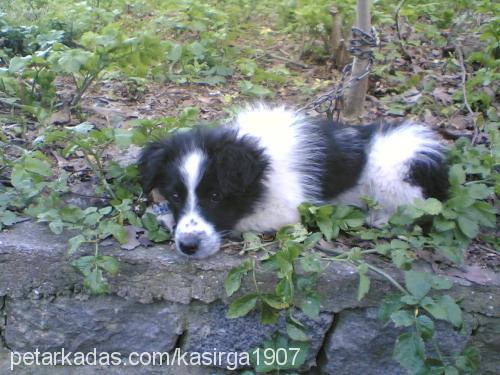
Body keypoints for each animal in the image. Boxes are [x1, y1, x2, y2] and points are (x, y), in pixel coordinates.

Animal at [138, 106, 450, 258]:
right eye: (175, 196)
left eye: (215, 196)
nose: (188, 247)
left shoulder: (286, 210)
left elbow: (241, 220)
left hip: (393, 168)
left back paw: (380, 217)